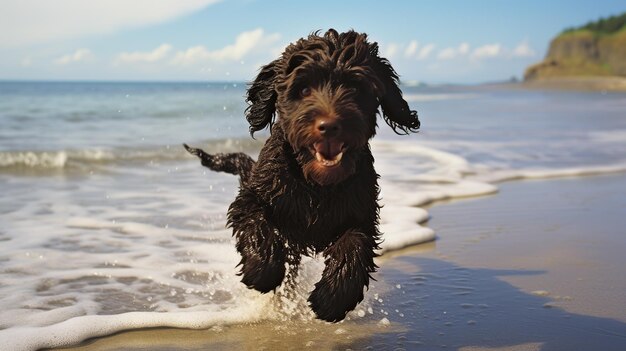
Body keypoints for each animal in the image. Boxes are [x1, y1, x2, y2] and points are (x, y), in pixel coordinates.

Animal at [185, 28, 420, 324]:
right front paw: (261, 270)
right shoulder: (256, 193)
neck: (316, 185)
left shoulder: (362, 210)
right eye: (304, 88)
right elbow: (254, 219)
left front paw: (332, 299)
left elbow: (355, 244)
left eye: (355, 87)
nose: (329, 126)